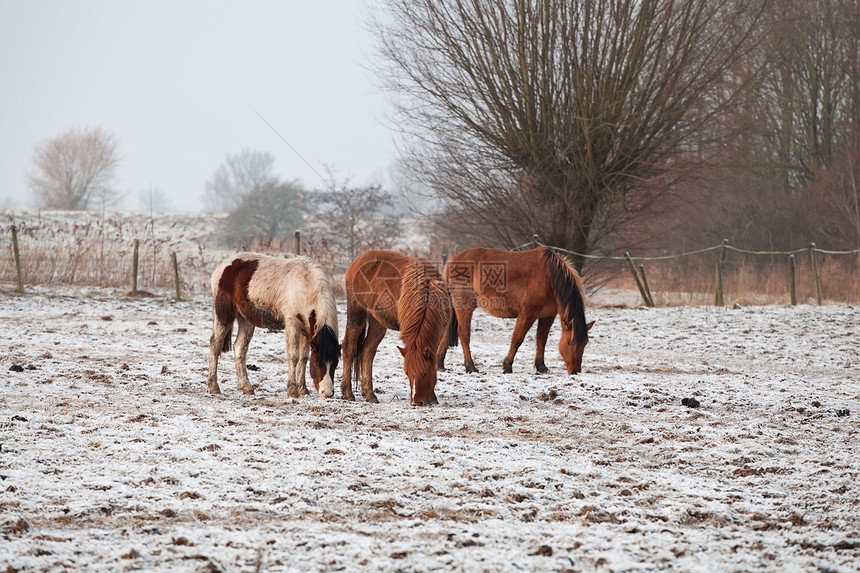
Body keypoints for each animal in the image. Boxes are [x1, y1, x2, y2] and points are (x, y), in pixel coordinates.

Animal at [207, 252, 340, 400]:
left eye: (335, 364)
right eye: (317, 364)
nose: (327, 393)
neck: (307, 285)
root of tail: (225, 265)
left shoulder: (306, 331)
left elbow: (304, 358)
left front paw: (302, 389)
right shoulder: (292, 324)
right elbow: (294, 356)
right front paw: (292, 390)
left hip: (246, 320)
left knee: (240, 348)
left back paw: (246, 386)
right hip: (224, 315)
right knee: (215, 345)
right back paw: (214, 387)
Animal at [340, 250, 454, 406]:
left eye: (425, 372)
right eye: (407, 373)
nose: (416, 402)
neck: (427, 291)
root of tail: (357, 262)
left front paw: (432, 397)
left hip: (377, 321)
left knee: (368, 351)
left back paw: (369, 393)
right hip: (357, 313)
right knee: (349, 348)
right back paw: (347, 393)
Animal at [440, 246, 596, 376]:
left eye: (585, 343)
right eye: (569, 342)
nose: (575, 371)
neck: (550, 277)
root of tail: (451, 261)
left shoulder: (547, 316)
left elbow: (541, 340)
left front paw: (541, 367)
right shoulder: (527, 314)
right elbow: (517, 339)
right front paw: (507, 366)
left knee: (447, 333)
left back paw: (439, 364)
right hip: (465, 306)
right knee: (464, 334)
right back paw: (470, 366)